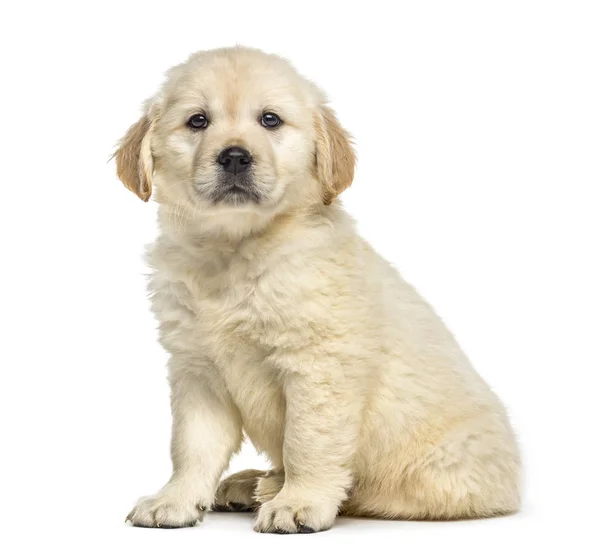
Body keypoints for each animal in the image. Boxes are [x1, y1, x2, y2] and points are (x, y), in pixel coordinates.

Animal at [116, 48, 520, 536]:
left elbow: (307, 442)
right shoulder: (197, 369)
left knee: (379, 492)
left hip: (438, 471)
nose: (234, 157)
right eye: (198, 121)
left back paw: (273, 488)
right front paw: (175, 500)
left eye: (270, 120)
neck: (235, 251)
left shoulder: (319, 366)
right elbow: (191, 445)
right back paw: (252, 482)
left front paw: (298, 502)